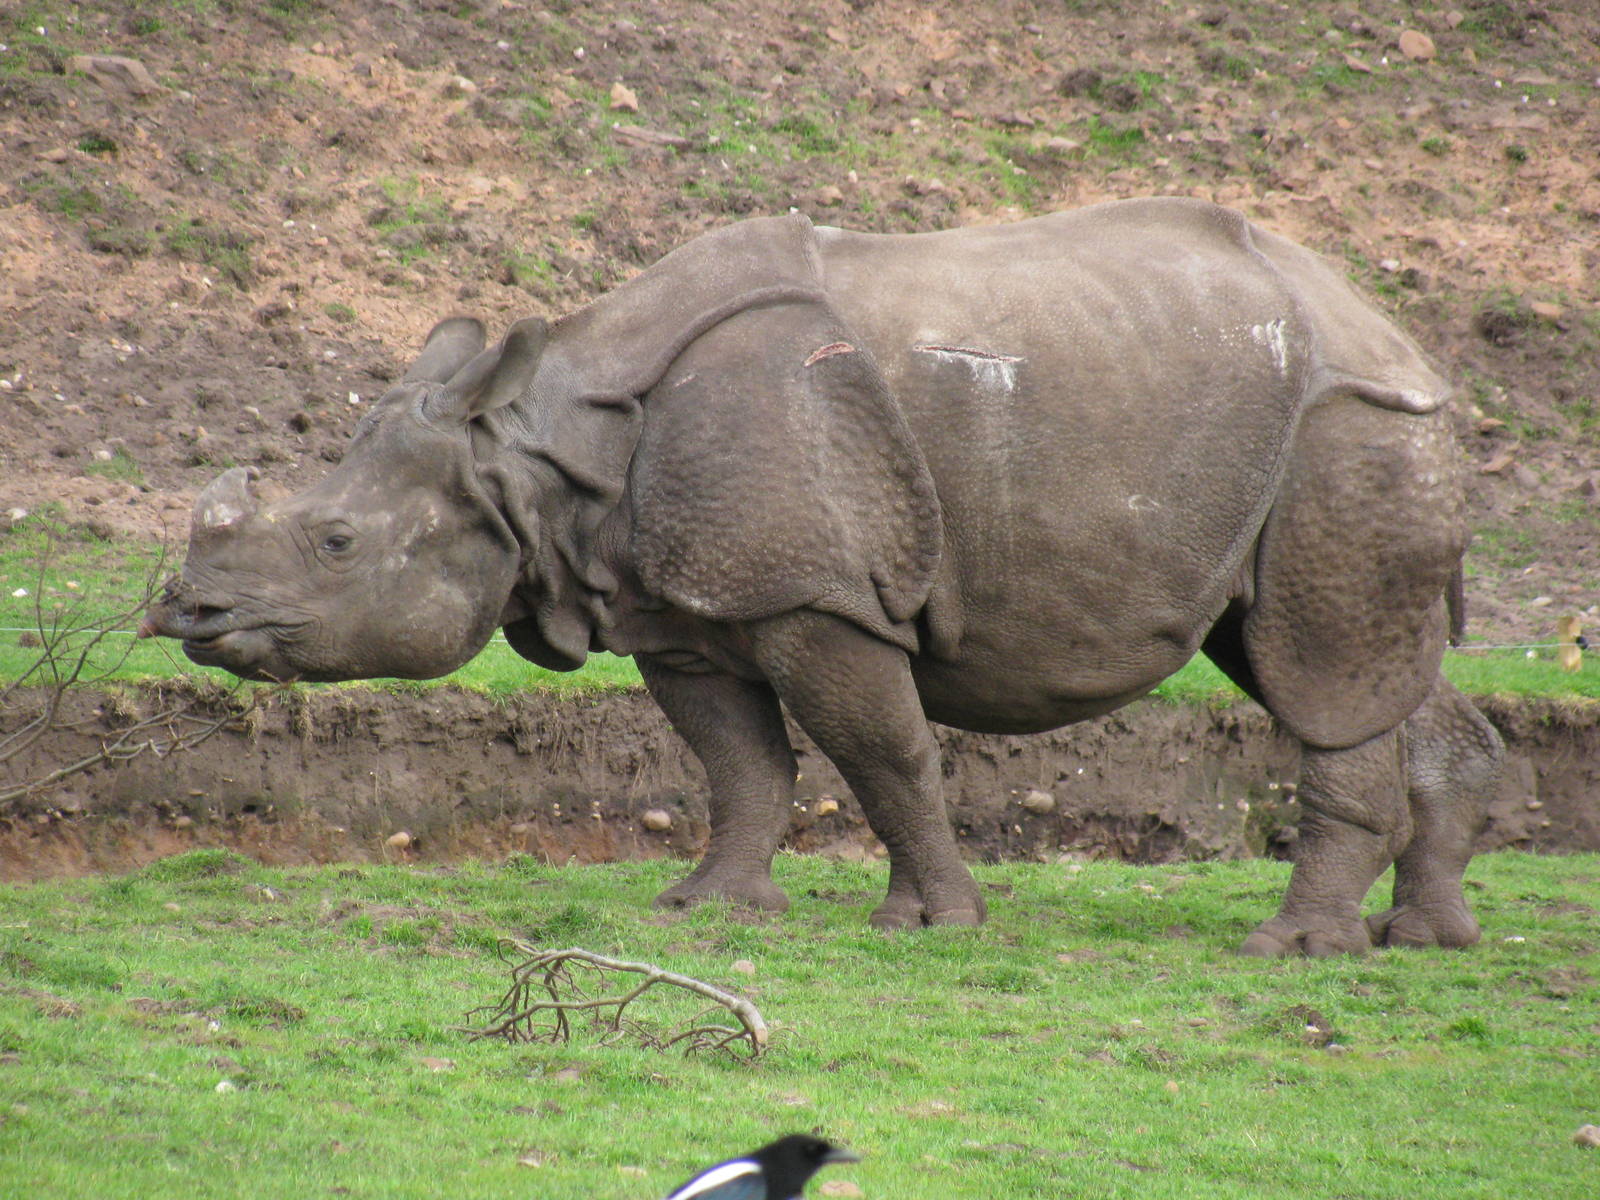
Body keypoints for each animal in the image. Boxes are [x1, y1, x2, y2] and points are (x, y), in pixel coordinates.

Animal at [142, 198, 1505, 956]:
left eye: (334, 545)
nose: (185, 613)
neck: (533, 450)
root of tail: (1399, 330)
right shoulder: (683, 607)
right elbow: (739, 763)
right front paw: (708, 913)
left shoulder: (814, 595)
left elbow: (883, 753)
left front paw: (935, 928)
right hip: (1307, 429)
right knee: (1332, 661)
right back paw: (1423, 940)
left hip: (1348, 424)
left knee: (1318, 671)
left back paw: (1290, 951)